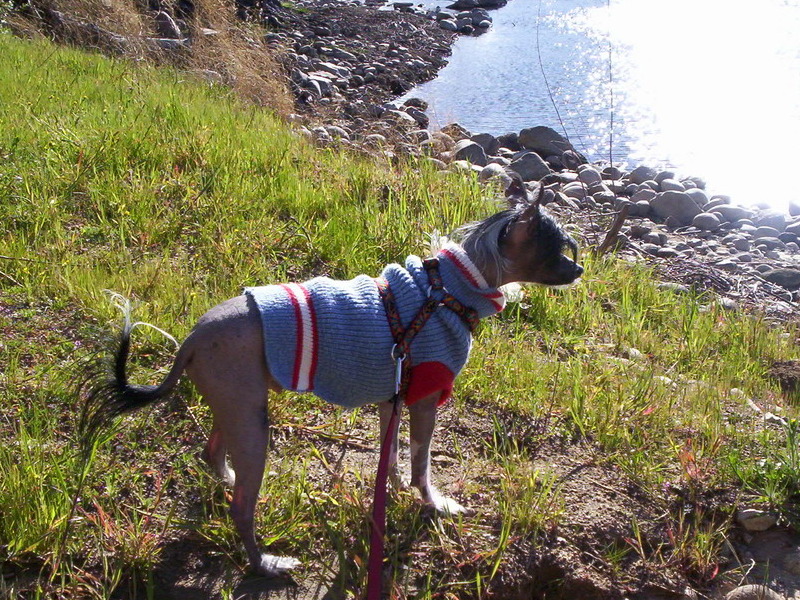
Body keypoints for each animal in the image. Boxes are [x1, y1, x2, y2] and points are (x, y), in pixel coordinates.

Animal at [79, 178, 580, 576]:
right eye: (556, 249)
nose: (578, 270)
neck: (446, 290)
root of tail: (193, 339)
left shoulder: (394, 398)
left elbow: (390, 454)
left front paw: (389, 490)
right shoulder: (425, 400)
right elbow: (421, 462)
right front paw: (433, 502)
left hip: (237, 408)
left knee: (213, 451)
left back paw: (225, 480)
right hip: (253, 426)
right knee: (243, 508)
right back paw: (265, 564)